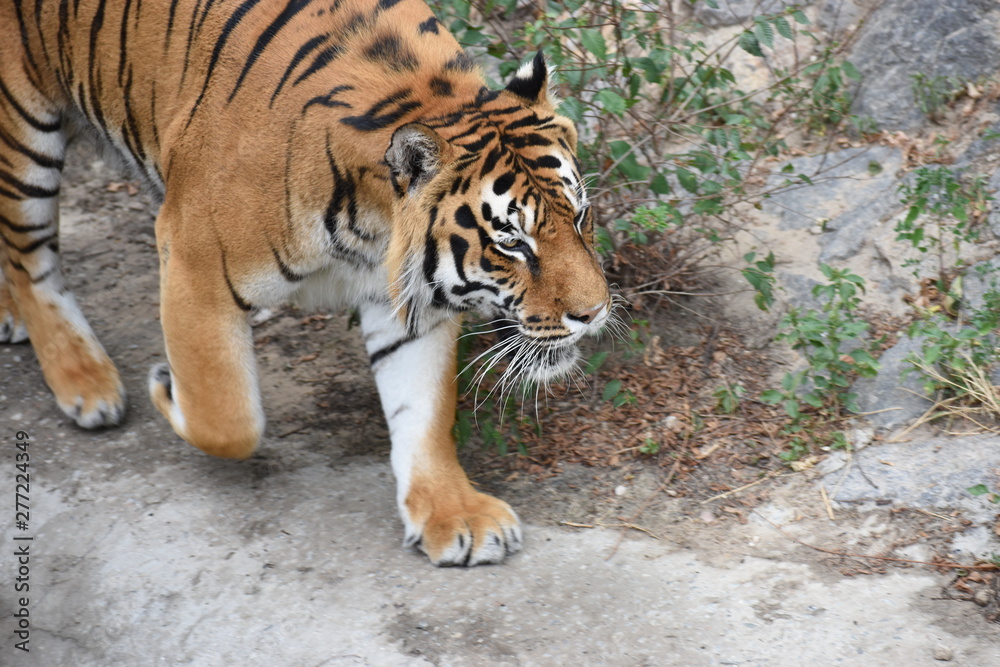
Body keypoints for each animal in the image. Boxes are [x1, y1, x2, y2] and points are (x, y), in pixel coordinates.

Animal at [0, 0, 612, 566]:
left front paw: (453, 513)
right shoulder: (193, 261)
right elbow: (228, 417)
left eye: (581, 216)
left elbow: (423, 411)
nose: (595, 313)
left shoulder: (407, 300)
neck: (372, 225)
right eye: (512, 242)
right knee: (30, 261)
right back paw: (86, 383)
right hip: (23, 132)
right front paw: (165, 388)